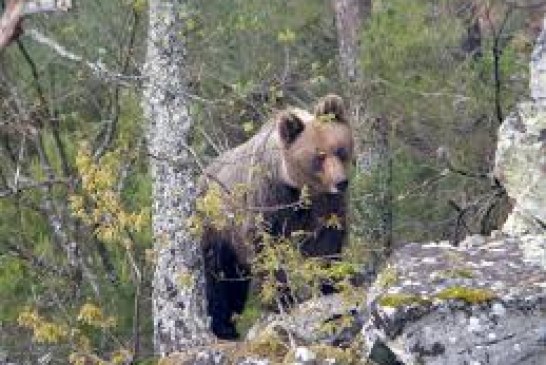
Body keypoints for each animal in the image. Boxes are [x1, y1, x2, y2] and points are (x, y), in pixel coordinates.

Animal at [198, 94, 350, 338]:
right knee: (218, 272)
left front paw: (330, 286)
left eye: (340, 149)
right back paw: (223, 327)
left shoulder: (325, 204)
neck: (299, 188)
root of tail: (204, 173)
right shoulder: (268, 198)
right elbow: (265, 245)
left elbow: (327, 240)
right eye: (319, 156)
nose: (341, 182)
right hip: (217, 222)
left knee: (237, 277)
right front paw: (283, 299)